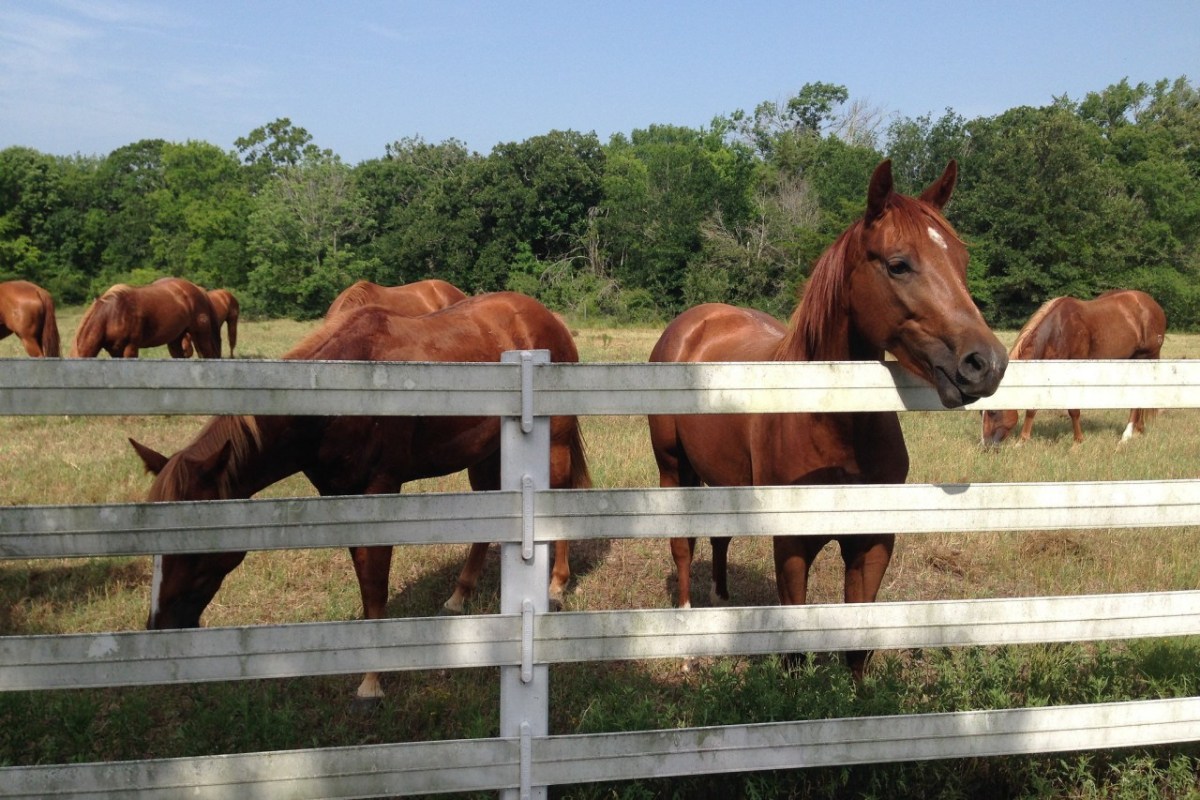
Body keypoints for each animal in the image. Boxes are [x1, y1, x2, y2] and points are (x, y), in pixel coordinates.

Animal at [71, 277, 221, 359]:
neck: (112, 313)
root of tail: (198, 289)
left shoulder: (130, 348)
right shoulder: (114, 351)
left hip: (200, 335)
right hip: (176, 340)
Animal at [128, 291, 591, 701]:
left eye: (192, 543)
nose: (159, 627)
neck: (336, 399)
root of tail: (543, 315)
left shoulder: (378, 490)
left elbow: (374, 586)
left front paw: (372, 682)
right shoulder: (343, 498)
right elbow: (366, 583)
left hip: (555, 442)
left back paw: (556, 585)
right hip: (485, 452)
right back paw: (460, 594)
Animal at [647, 159, 1007, 678]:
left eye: (960, 260)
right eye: (898, 264)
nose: (986, 363)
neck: (834, 423)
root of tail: (694, 323)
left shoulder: (872, 543)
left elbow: (857, 646)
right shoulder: (792, 544)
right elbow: (795, 649)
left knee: (719, 536)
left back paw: (721, 601)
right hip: (673, 469)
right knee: (683, 545)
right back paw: (687, 636)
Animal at [981, 289, 1166, 446]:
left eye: (992, 411)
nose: (985, 445)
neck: (1057, 330)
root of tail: (1152, 305)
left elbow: (1073, 409)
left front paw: (1078, 441)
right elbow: (1033, 407)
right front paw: (1022, 441)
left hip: (1143, 358)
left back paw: (1126, 435)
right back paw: (1138, 430)